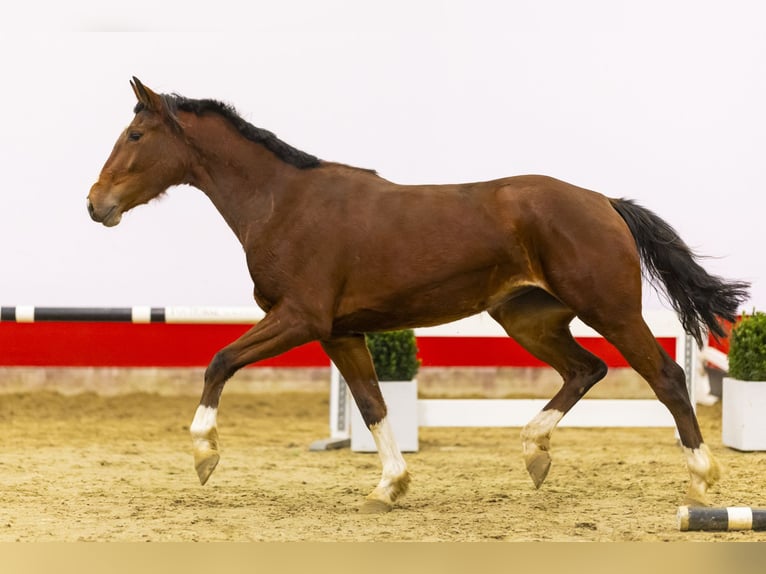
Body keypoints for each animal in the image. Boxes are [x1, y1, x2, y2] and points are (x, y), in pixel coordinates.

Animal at [85, 77, 752, 512]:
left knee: (665, 376)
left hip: (609, 309)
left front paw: (204, 456)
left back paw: (701, 479)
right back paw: (535, 453)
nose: (96, 205)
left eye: (137, 134)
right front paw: (388, 487)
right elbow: (373, 404)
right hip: (528, 319)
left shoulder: (300, 318)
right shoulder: (340, 331)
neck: (282, 204)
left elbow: (219, 359)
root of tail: (604, 202)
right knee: (587, 369)